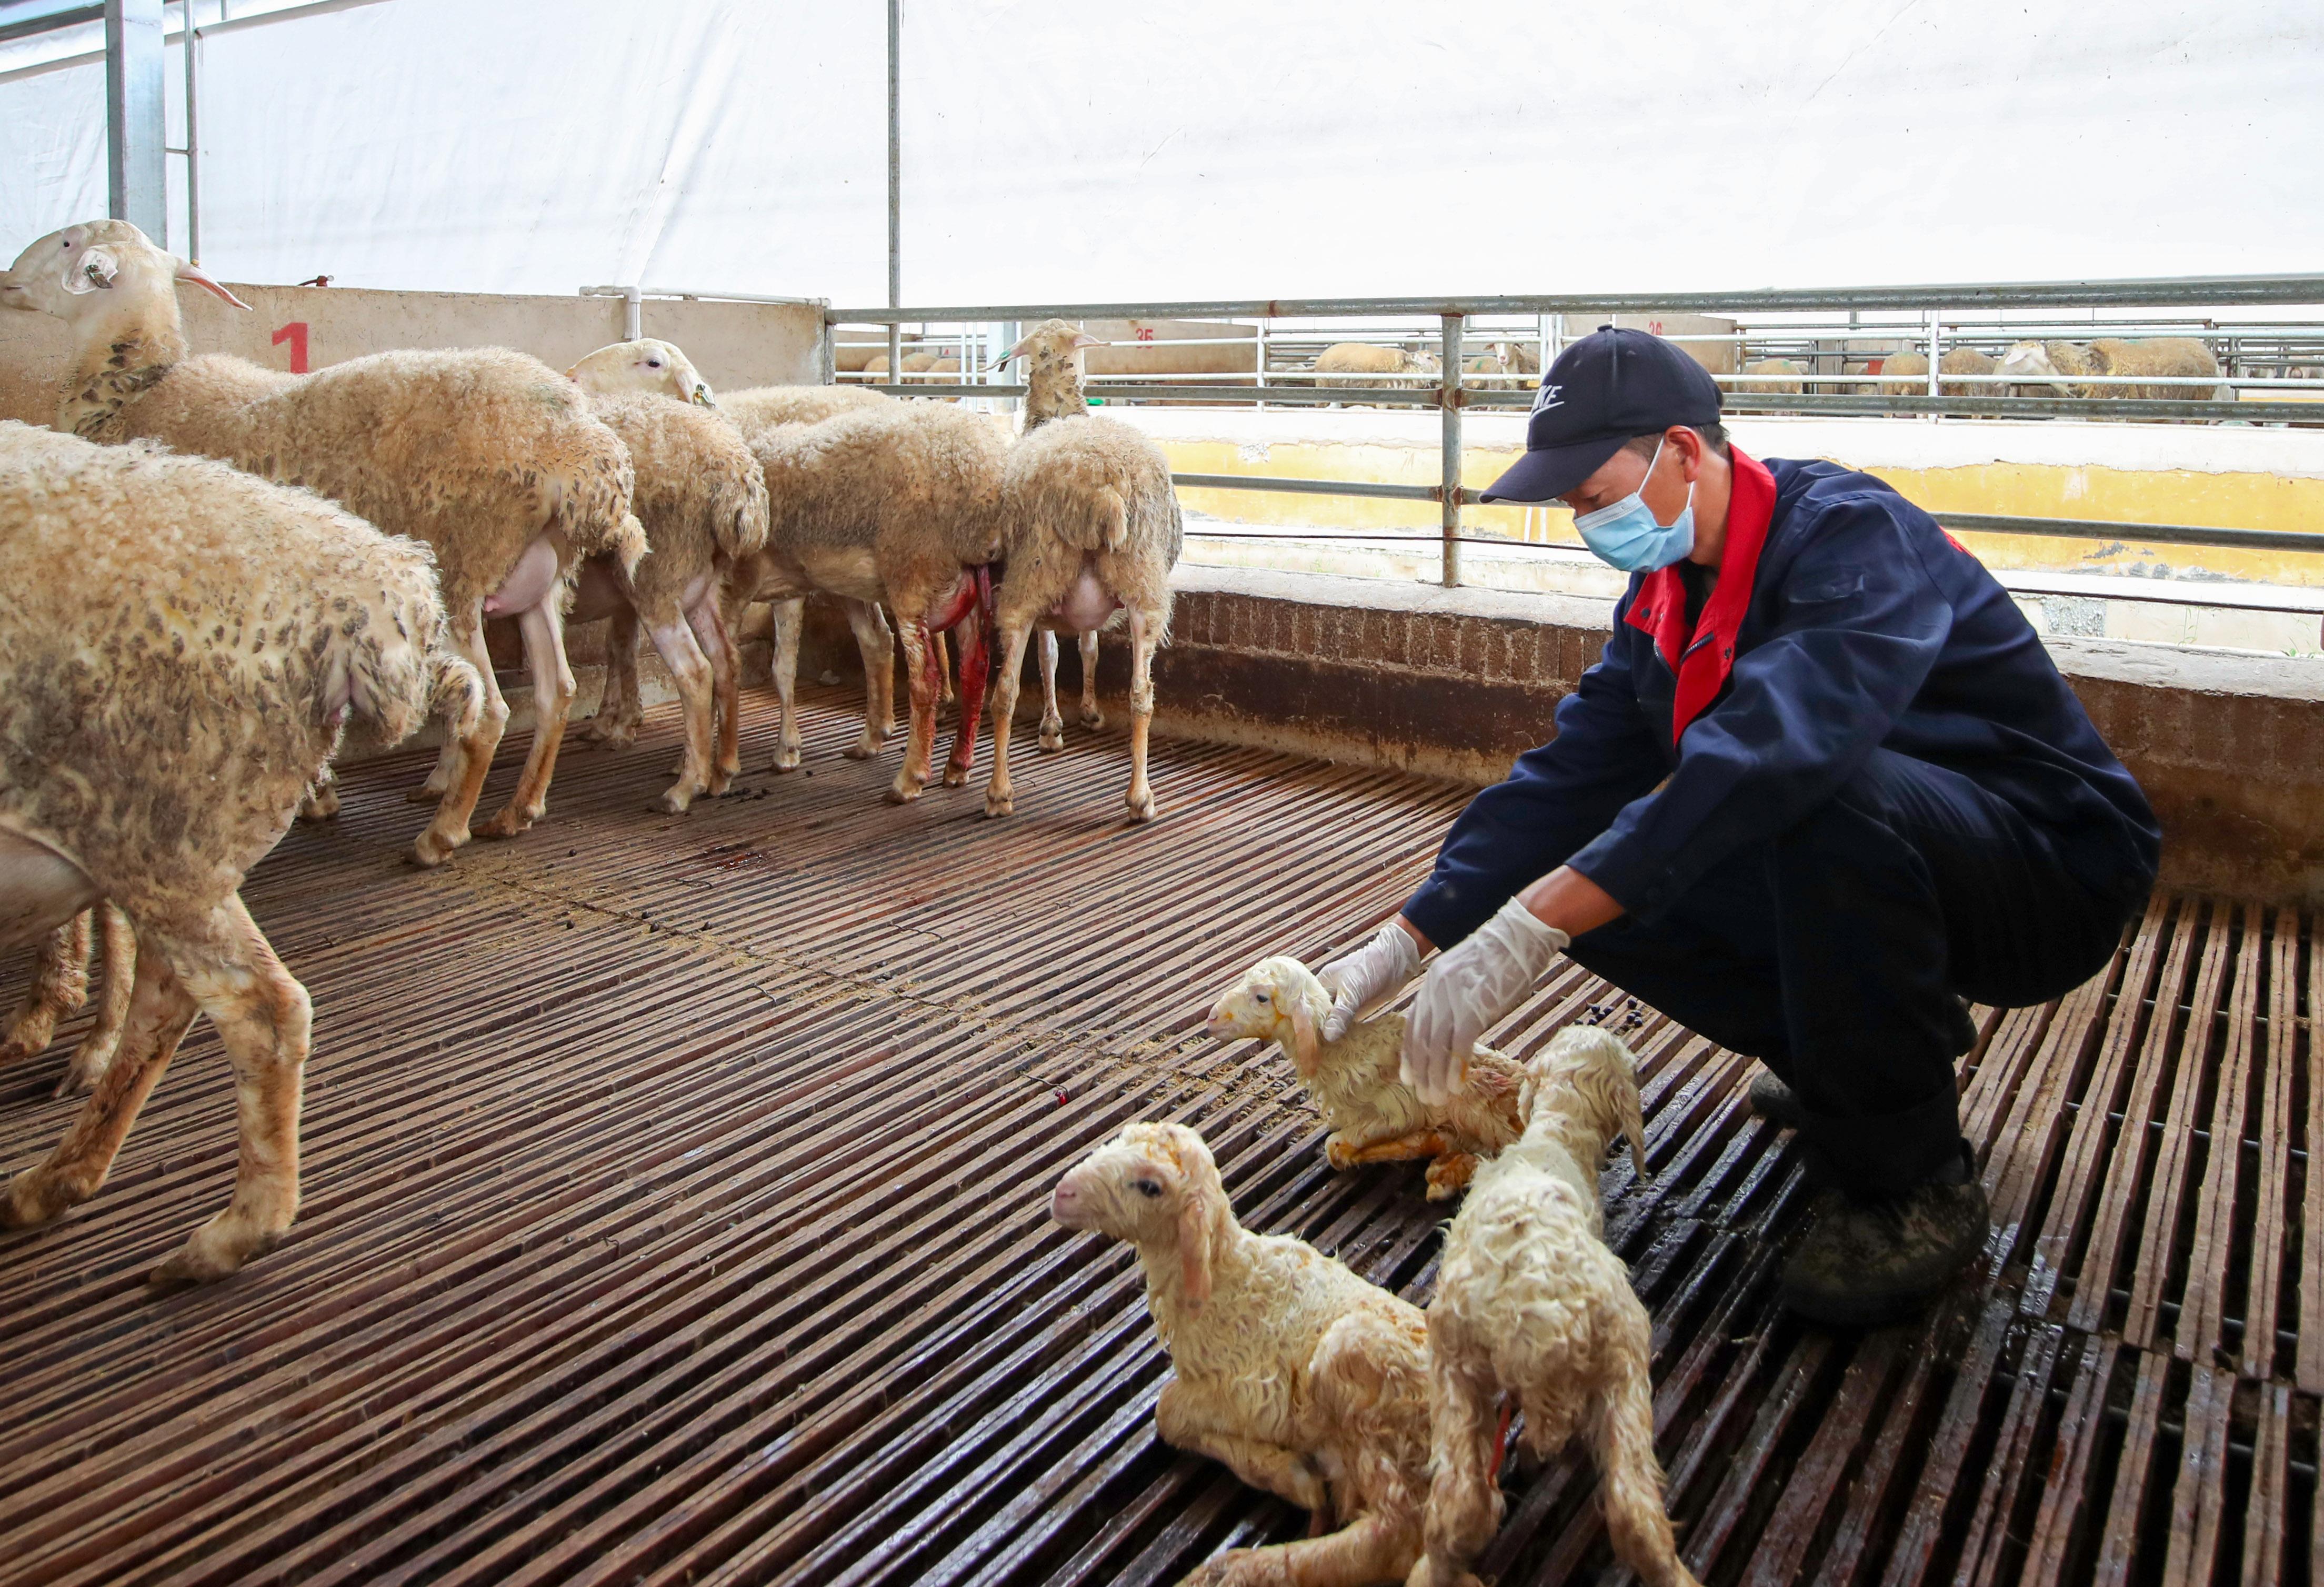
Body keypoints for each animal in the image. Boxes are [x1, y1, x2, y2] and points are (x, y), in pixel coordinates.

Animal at [1217, 957, 1524, 1208]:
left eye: (1261, 997)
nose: (1212, 1018)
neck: (1338, 1052)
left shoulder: (1395, 1111)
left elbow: (1335, 1148)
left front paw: (1424, 1142)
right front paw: (1436, 1143)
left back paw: (1447, 1175)